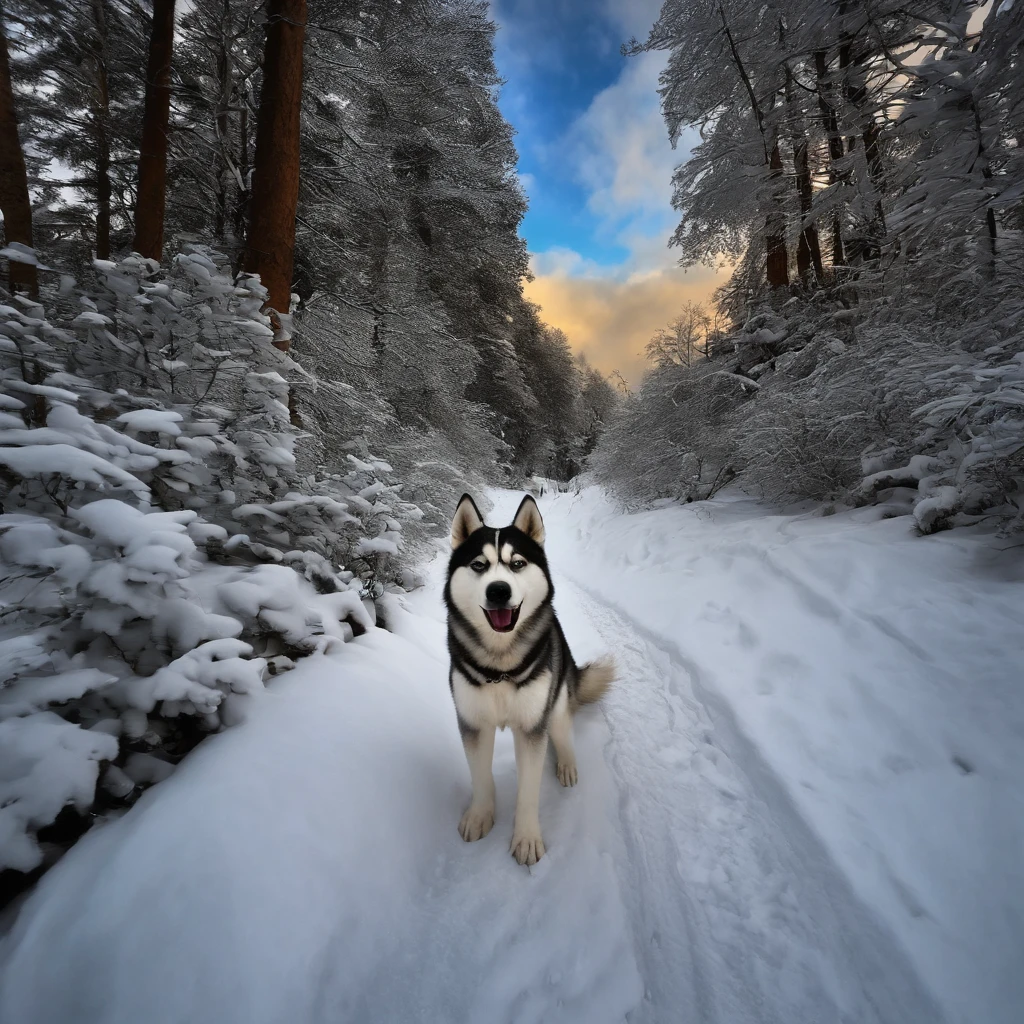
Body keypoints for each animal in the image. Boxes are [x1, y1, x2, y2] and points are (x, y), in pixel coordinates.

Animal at [444, 493, 610, 864]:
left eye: (517, 563)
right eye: (479, 565)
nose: (499, 591)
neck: (500, 667)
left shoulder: (532, 726)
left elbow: (529, 791)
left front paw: (527, 838)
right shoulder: (473, 722)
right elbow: (480, 777)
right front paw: (480, 815)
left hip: (556, 702)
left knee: (563, 733)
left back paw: (566, 765)